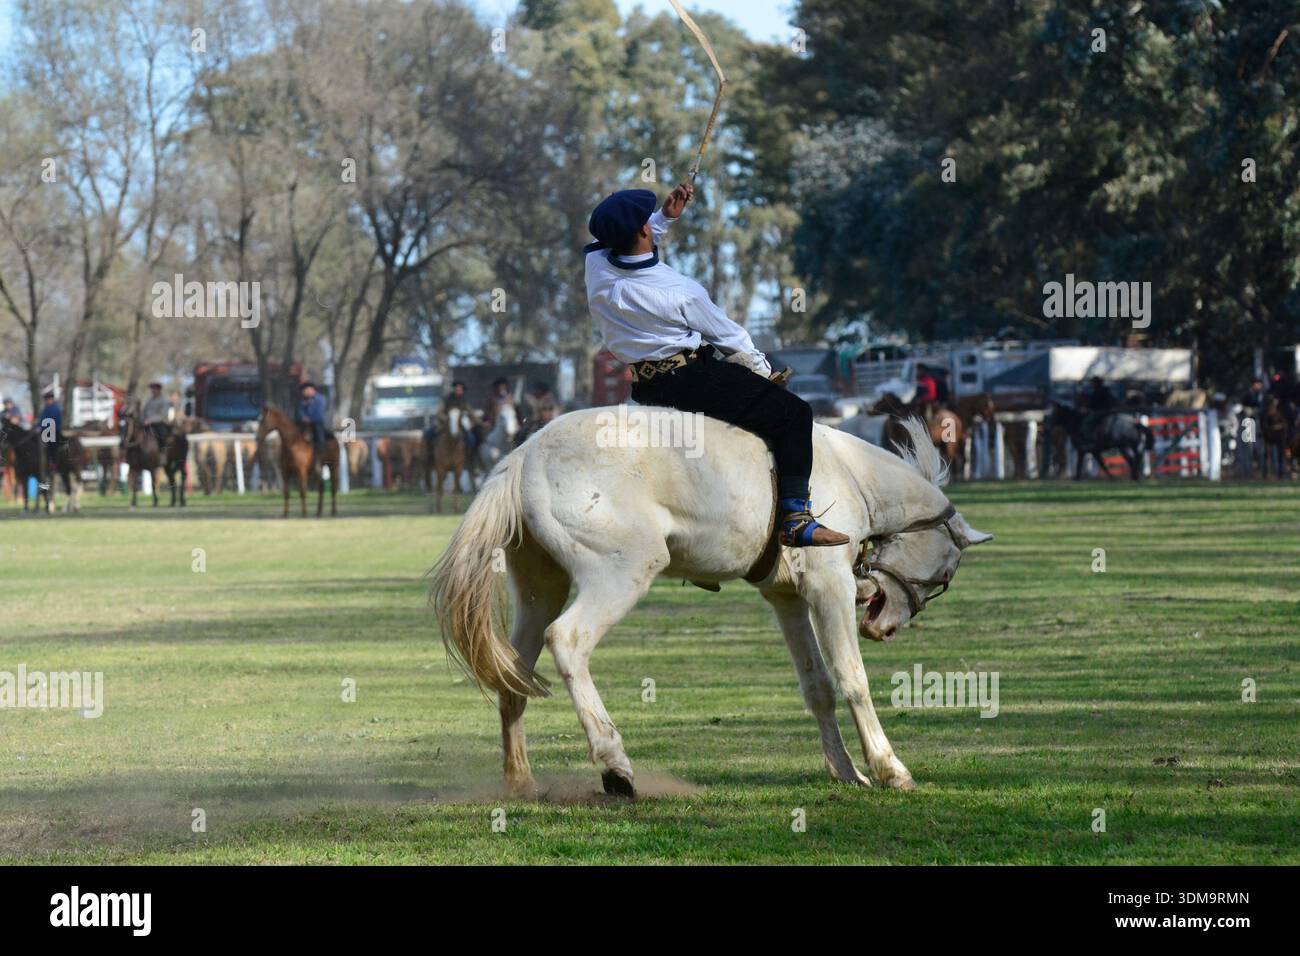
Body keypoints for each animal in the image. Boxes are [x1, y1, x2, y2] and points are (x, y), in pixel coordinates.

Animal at [431, 413, 992, 798]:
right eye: (945, 575)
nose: (888, 627)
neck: (850, 474)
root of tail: (524, 456)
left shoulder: (786, 597)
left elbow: (817, 687)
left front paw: (845, 771)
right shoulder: (828, 584)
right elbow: (851, 678)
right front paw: (887, 767)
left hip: (539, 588)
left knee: (514, 672)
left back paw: (521, 780)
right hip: (621, 572)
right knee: (567, 642)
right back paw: (615, 764)